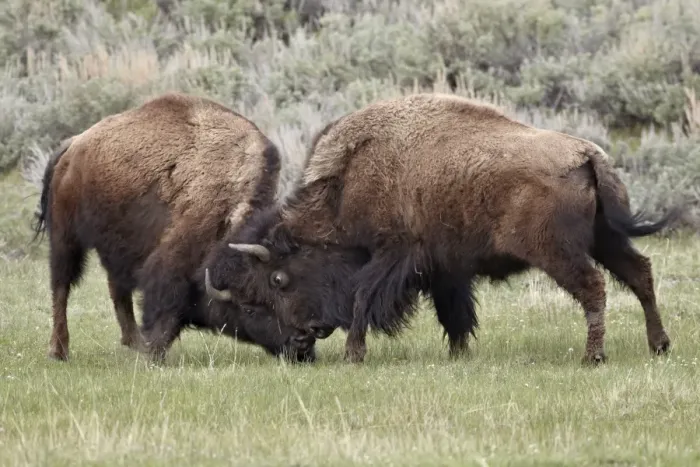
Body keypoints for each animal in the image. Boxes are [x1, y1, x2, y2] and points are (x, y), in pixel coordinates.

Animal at [32, 92, 316, 364]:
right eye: (249, 307)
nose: (303, 344)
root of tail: (73, 146)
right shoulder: (173, 256)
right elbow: (164, 305)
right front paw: (155, 353)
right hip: (66, 238)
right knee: (61, 286)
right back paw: (59, 351)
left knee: (117, 288)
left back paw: (133, 342)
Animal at [201, 93, 679, 365]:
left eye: (279, 280)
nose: (304, 335)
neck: (349, 181)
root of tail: (587, 155)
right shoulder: (444, 268)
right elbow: (455, 313)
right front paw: (459, 354)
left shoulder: (394, 255)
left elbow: (361, 297)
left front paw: (354, 355)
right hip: (606, 239)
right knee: (640, 274)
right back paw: (658, 346)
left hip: (559, 252)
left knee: (595, 287)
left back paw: (593, 356)